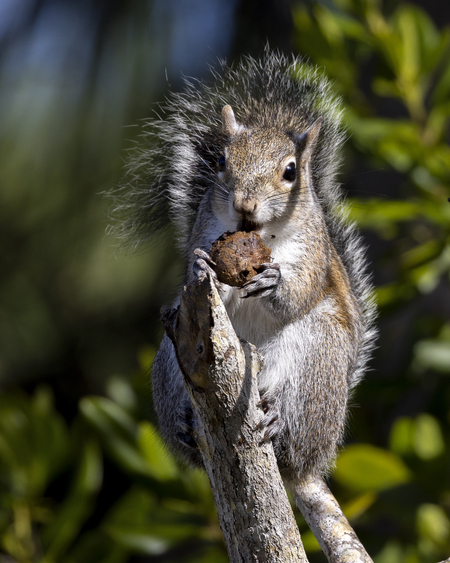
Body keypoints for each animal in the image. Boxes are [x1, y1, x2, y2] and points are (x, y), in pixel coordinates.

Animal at [114, 51, 378, 484]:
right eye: (222, 160)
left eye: (290, 171)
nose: (244, 204)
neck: (262, 235)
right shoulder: (203, 232)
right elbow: (199, 275)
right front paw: (203, 268)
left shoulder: (314, 253)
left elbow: (300, 291)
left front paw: (274, 282)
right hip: (170, 360)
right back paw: (185, 426)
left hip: (318, 360)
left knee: (295, 441)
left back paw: (279, 427)